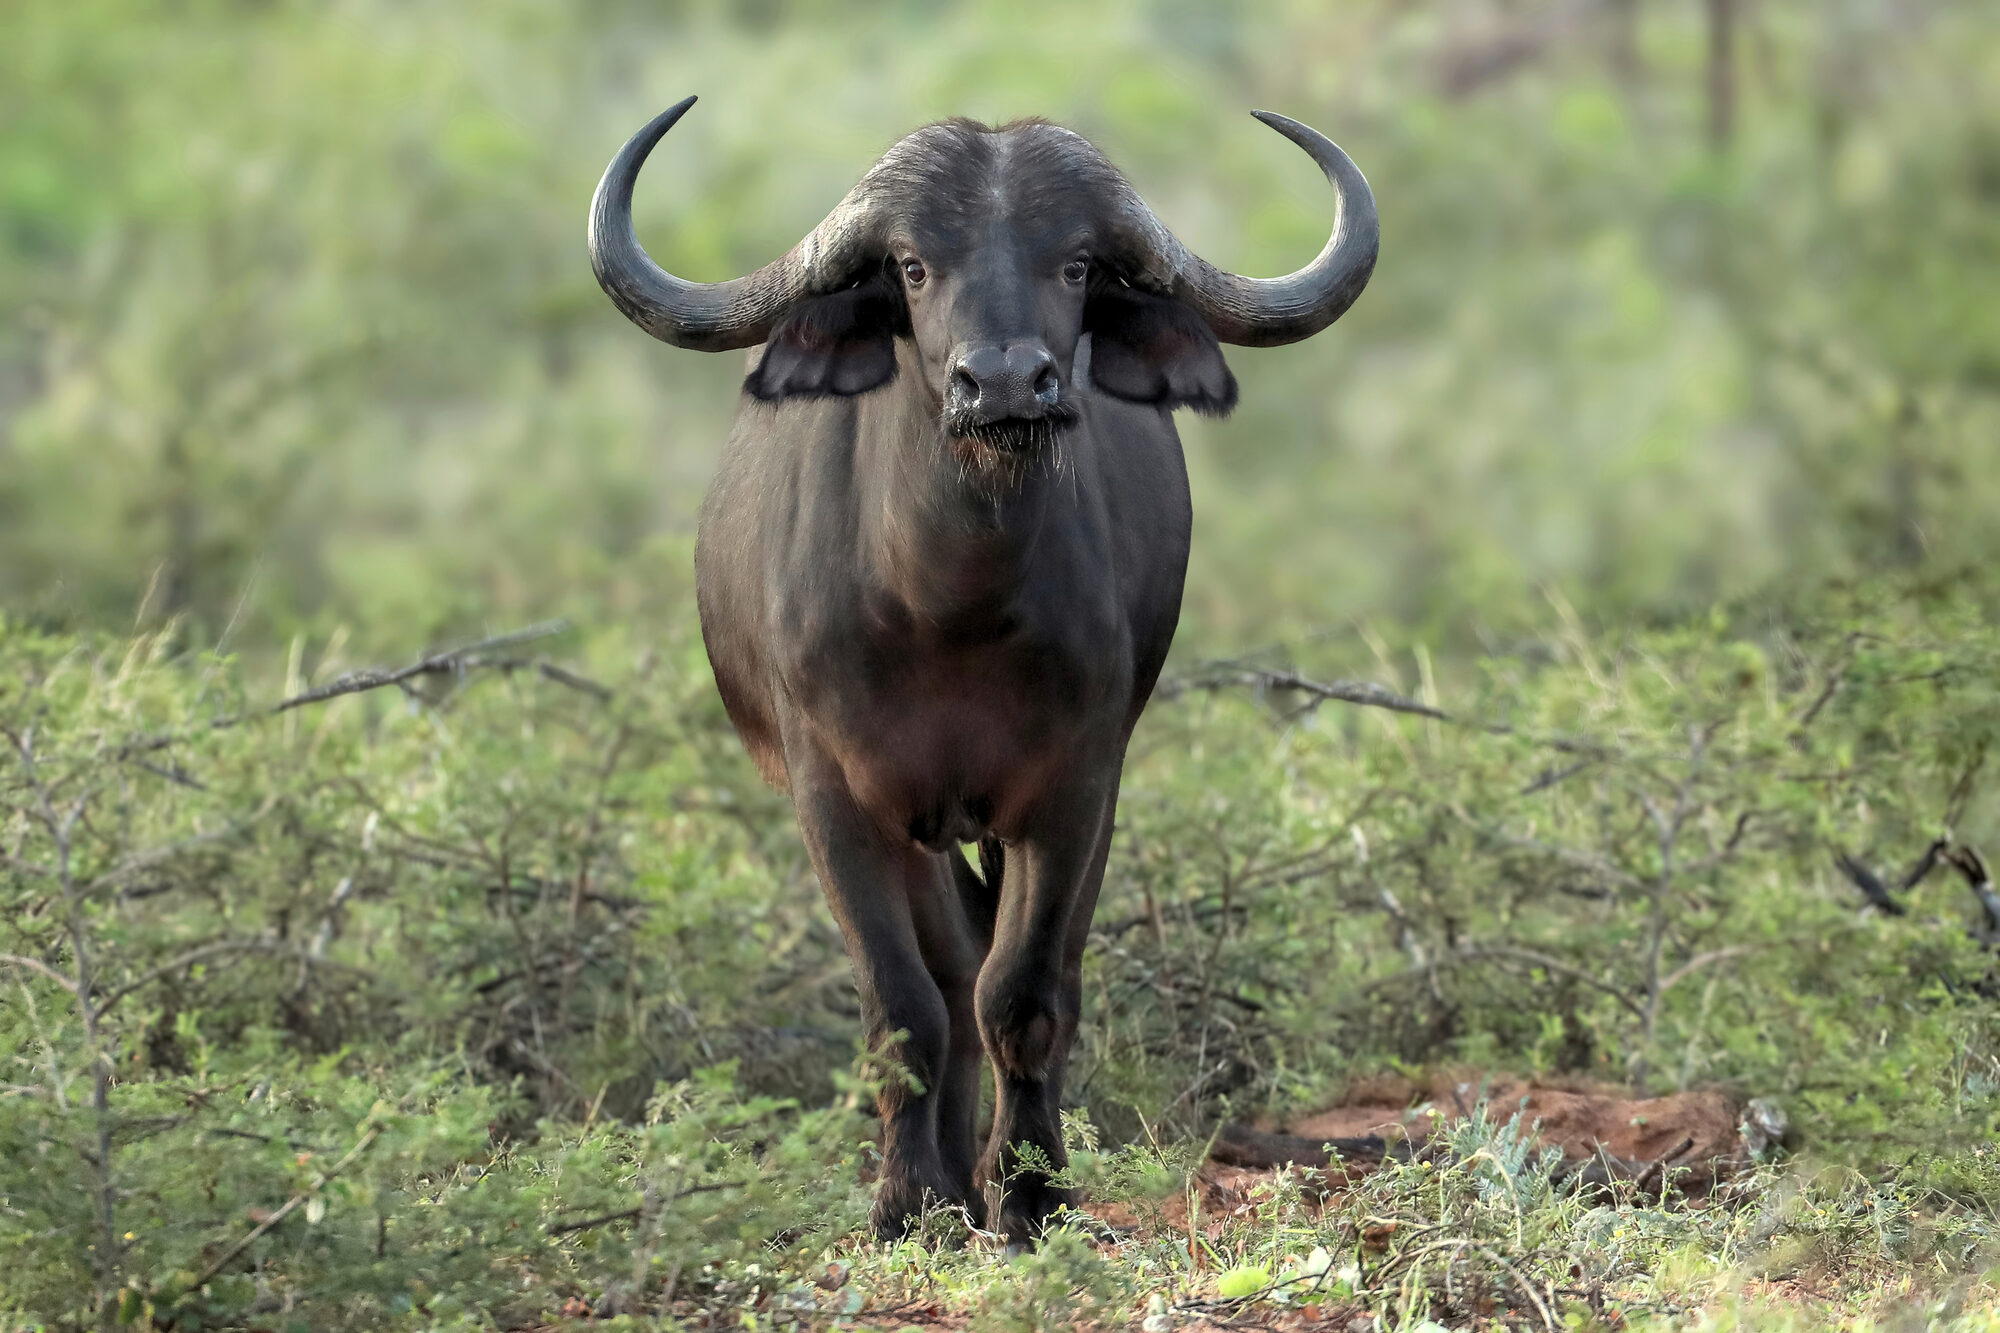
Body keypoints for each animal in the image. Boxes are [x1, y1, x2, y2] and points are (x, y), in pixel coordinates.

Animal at [588, 96, 1376, 1243]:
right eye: (915, 267)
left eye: (1078, 263)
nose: (1003, 381)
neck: (947, 605)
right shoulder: (836, 797)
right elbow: (902, 1003)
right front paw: (908, 1197)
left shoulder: (1073, 788)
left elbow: (1024, 992)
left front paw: (1032, 1190)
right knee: (946, 968)